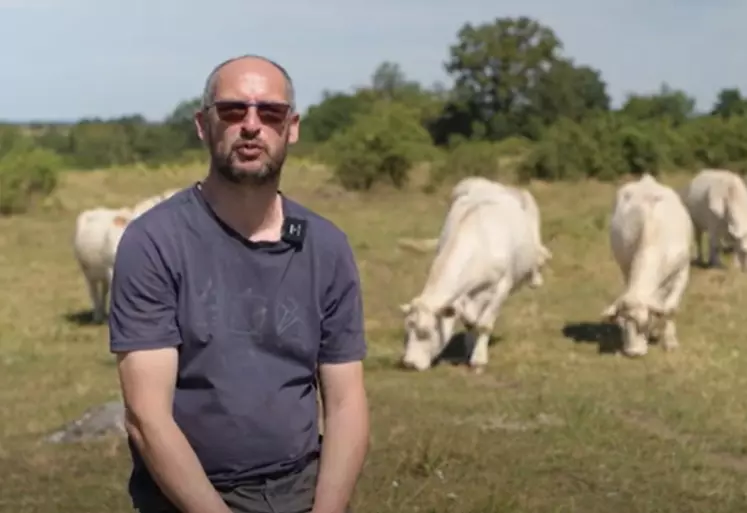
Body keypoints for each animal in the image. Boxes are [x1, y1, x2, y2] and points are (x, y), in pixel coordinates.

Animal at [398, 184, 544, 372]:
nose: (409, 363)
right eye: (407, 329)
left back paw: (535, 278)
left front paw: (479, 360)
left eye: (426, 332)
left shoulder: (502, 287)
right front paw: (468, 350)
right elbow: (470, 323)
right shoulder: (461, 297)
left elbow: (484, 324)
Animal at [600, 172, 692, 356]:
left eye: (643, 323)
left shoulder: (682, 272)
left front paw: (670, 341)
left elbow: (670, 308)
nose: (633, 352)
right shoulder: (627, 267)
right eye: (620, 325)